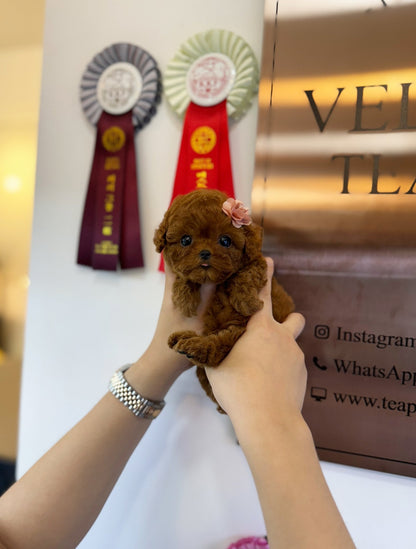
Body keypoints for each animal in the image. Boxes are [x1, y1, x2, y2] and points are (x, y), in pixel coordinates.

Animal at [154, 189, 294, 412]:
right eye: (185, 240)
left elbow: (246, 274)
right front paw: (185, 298)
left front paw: (246, 301)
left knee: (216, 347)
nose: (205, 253)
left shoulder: (257, 261)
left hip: (236, 331)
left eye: (225, 241)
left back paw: (193, 345)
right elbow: (184, 276)